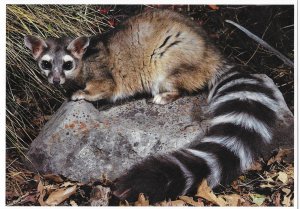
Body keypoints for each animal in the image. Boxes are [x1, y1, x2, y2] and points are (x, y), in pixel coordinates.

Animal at [24, 9, 282, 203]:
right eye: (46, 64)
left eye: (67, 65)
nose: (56, 80)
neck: (84, 58)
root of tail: (213, 56)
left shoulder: (103, 75)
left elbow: (104, 88)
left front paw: (82, 93)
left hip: (171, 59)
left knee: (173, 78)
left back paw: (167, 94)